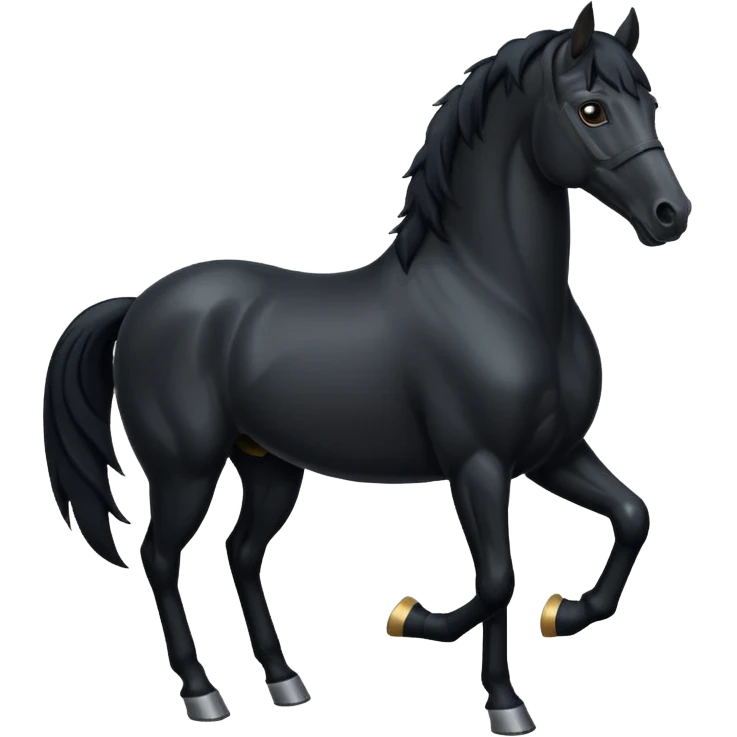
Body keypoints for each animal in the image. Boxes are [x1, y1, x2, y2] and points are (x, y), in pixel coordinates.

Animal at [41, 5, 690, 735]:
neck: (498, 295)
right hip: (185, 470)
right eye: (591, 110)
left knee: (241, 551)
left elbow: (631, 516)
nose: (671, 215)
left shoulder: (552, 454)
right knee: (159, 556)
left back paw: (285, 682)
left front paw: (561, 618)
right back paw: (203, 693)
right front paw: (425, 630)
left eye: (650, 102)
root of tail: (139, 305)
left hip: (268, 464)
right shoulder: (478, 463)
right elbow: (497, 578)